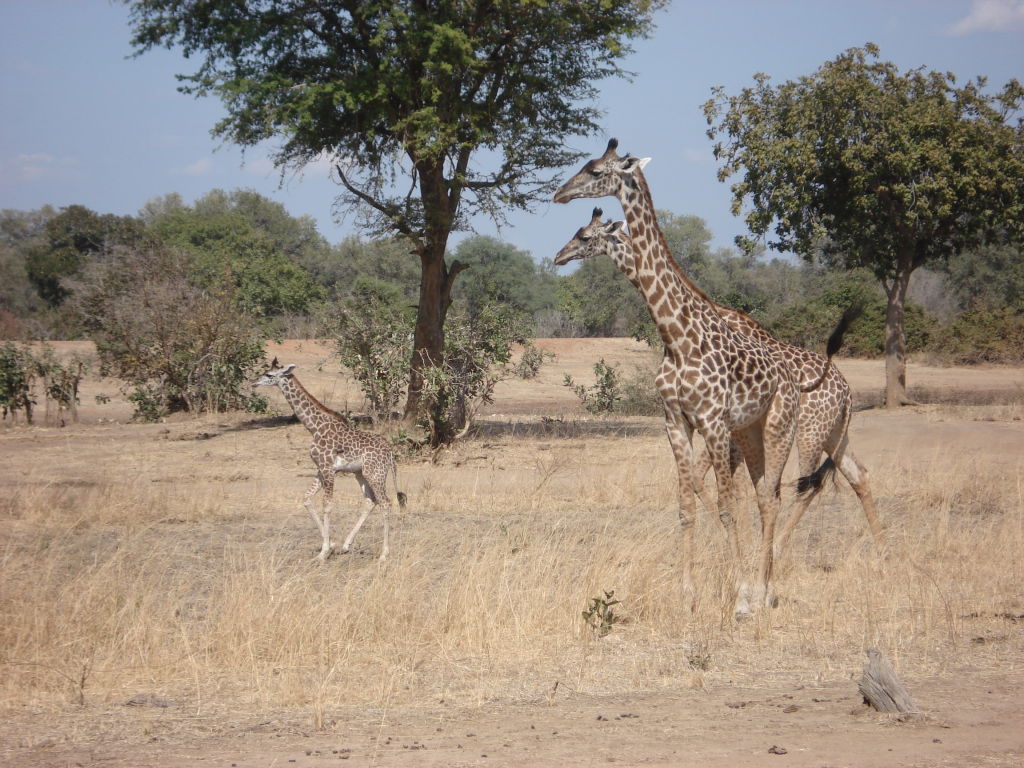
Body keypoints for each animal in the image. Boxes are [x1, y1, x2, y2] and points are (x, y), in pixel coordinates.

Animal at [253, 359, 407, 562]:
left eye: (269, 375)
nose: (254, 383)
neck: (314, 426)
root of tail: (390, 452)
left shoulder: (327, 468)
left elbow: (327, 505)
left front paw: (324, 552)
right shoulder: (321, 468)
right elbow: (307, 499)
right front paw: (331, 544)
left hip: (375, 473)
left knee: (385, 502)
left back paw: (383, 554)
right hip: (361, 473)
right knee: (370, 500)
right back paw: (346, 545)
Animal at [554, 142, 801, 615]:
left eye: (594, 170)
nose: (559, 193)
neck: (676, 335)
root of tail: (791, 375)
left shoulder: (713, 421)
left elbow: (726, 505)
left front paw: (740, 594)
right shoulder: (675, 420)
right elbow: (686, 504)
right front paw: (688, 593)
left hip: (778, 426)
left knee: (769, 497)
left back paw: (763, 590)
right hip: (751, 431)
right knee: (765, 495)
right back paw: (763, 585)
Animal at [555, 210, 884, 561]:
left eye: (584, 236)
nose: (559, 256)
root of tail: (846, 391)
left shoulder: (726, 427)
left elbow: (725, 486)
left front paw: (735, 544)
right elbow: (718, 485)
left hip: (809, 434)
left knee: (808, 483)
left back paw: (778, 547)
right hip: (833, 434)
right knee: (855, 475)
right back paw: (880, 548)